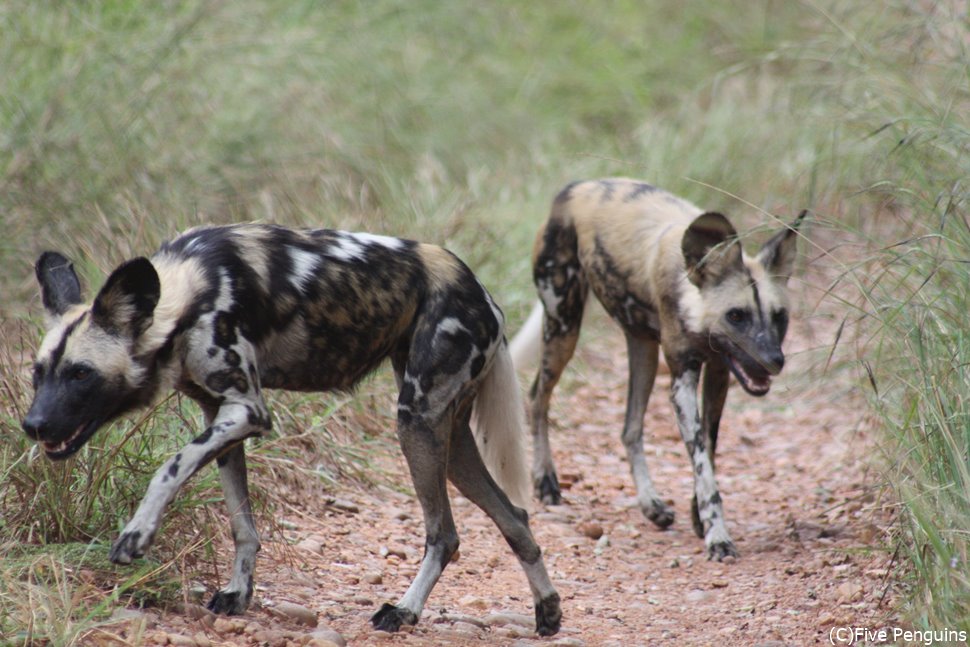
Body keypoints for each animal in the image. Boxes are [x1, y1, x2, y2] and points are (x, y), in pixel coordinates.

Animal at [20, 224, 560, 636]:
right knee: (515, 517)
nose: (32, 425)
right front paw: (238, 593)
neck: (187, 296)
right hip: (450, 441)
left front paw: (136, 534)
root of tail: (478, 290)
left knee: (444, 534)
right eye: (37, 373)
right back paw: (547, 611)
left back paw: (404, 611)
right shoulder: (219, 416)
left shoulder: (248, 413)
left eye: (81, 374)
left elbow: (168, 468)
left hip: (416, 422)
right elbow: (242, 526)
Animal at [506, 178, 800, 560]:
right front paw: (718, 536)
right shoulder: (682, 383)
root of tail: (575, 186)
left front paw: (700, 517)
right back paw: (545, 480)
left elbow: (708, 451)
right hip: (563, 327)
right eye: (737, 316)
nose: (773, 361)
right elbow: (702, 463)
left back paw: (651, 505)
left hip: (641, 348)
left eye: (779, 317)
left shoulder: (719, 372)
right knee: (537, 397)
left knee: (630, 429)